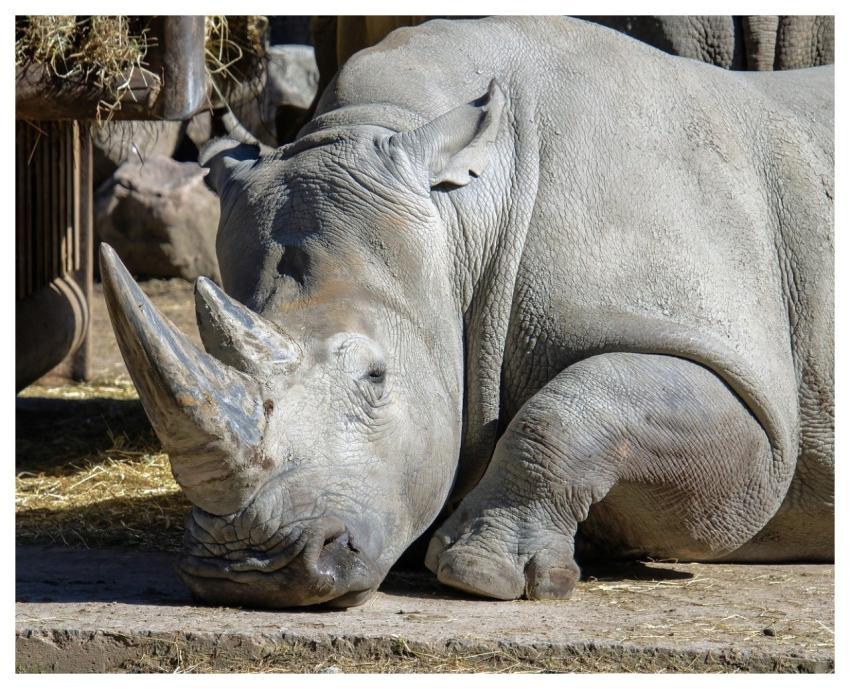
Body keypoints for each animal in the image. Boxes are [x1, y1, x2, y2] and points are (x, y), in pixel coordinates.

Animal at [101, 17, 833, 608]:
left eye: (376, 378)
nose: (243, 569)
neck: (461, 221)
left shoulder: (743, 391)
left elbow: (572, 412)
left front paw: (483, 575)